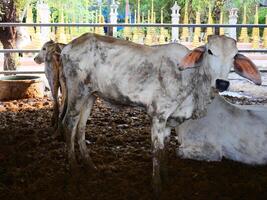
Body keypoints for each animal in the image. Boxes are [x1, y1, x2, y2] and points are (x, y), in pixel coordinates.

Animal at [59, 34, 262, 194]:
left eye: (234, 56)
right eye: (210, 51)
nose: (222, 83)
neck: (191, 81)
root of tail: (68, 46)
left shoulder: (169, 122)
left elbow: (164, 150)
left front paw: (166, 180)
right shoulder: (158, 115)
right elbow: (157, 150)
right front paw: (157, 187)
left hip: (90, 96)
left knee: (81, 128)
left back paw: (90, 166)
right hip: (77, 92)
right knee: (69, 124)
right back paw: (74, 169)